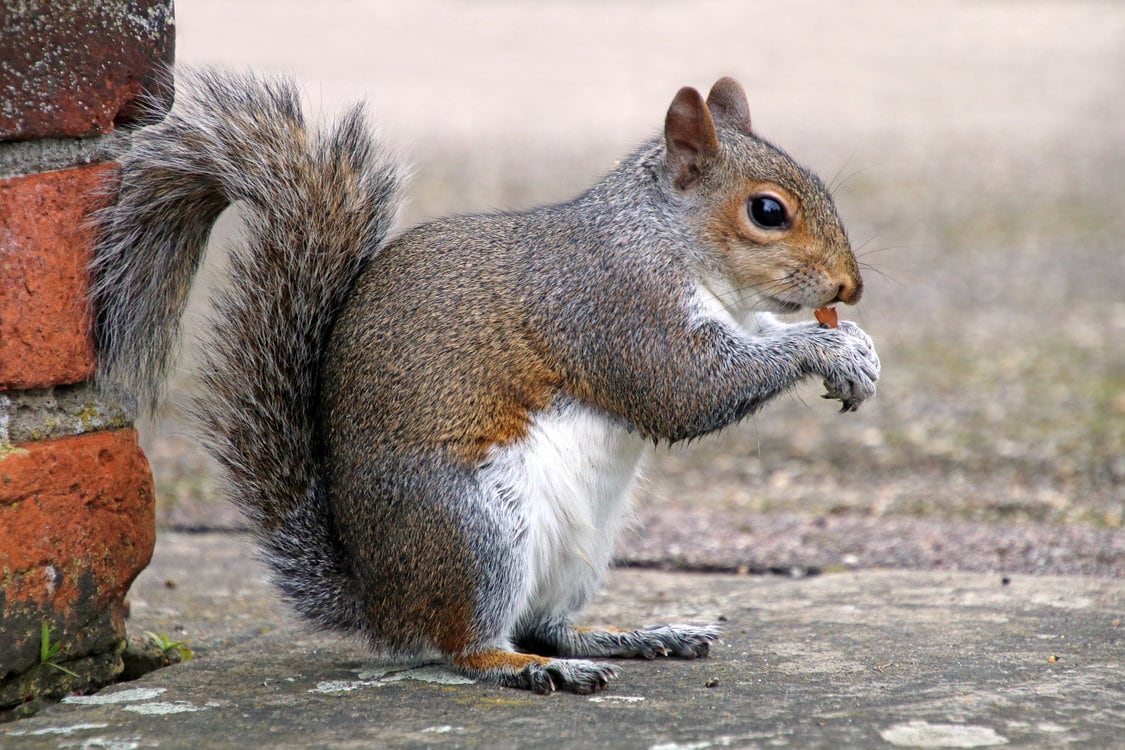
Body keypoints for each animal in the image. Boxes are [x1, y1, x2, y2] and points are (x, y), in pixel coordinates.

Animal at [91, 69, 880, 694]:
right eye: (767, 211)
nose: (851, 287)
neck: (663, 239)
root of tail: (381, 603)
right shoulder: (614, 308)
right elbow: (684, 389)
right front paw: (824, 349)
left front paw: (856, 347)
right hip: (476, 529)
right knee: (468, 646)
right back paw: (531, 670)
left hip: (581, 549)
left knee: (546, 625)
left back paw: (632, 637)